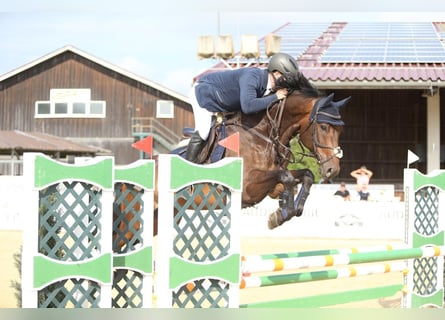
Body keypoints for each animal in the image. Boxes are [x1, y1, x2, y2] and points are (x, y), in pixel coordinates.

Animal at [112, 71, 348, 244]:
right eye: (324, 127)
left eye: (340, 130)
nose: (333, 170)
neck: (262, 134)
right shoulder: (248, 187)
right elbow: (287, 177)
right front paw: (280, 214)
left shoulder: (272, 180)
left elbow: (303, 176)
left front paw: (286, 211)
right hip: (134, 222)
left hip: (158, 218)